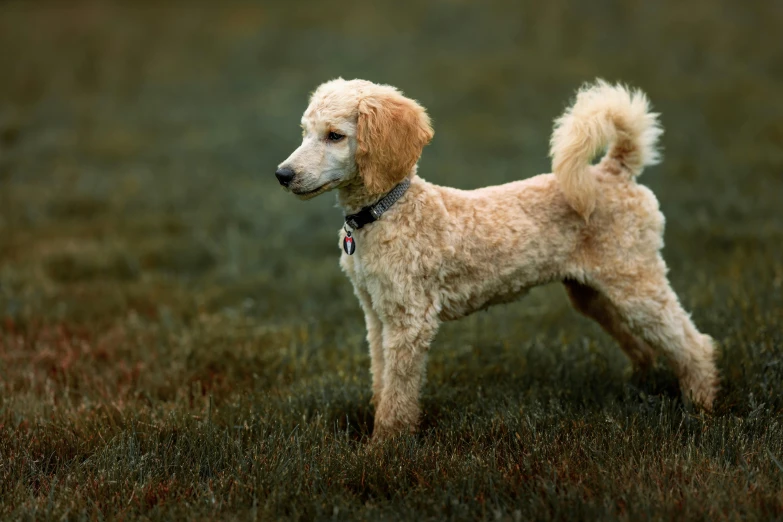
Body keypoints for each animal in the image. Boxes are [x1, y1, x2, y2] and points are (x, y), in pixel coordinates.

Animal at [278, 78, 724, 438]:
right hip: (593, 292)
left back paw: (701, 409)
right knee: (647, 344)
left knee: (694, 343)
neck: (388, 211)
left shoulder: (410, 320)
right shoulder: (376, 314)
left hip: (634, 280)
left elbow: (399, 393)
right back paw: (643, 384)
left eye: (335, 136)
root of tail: (614, 171)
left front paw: (384, 449)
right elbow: (381, 380)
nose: (282, 174)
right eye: (303, 132)